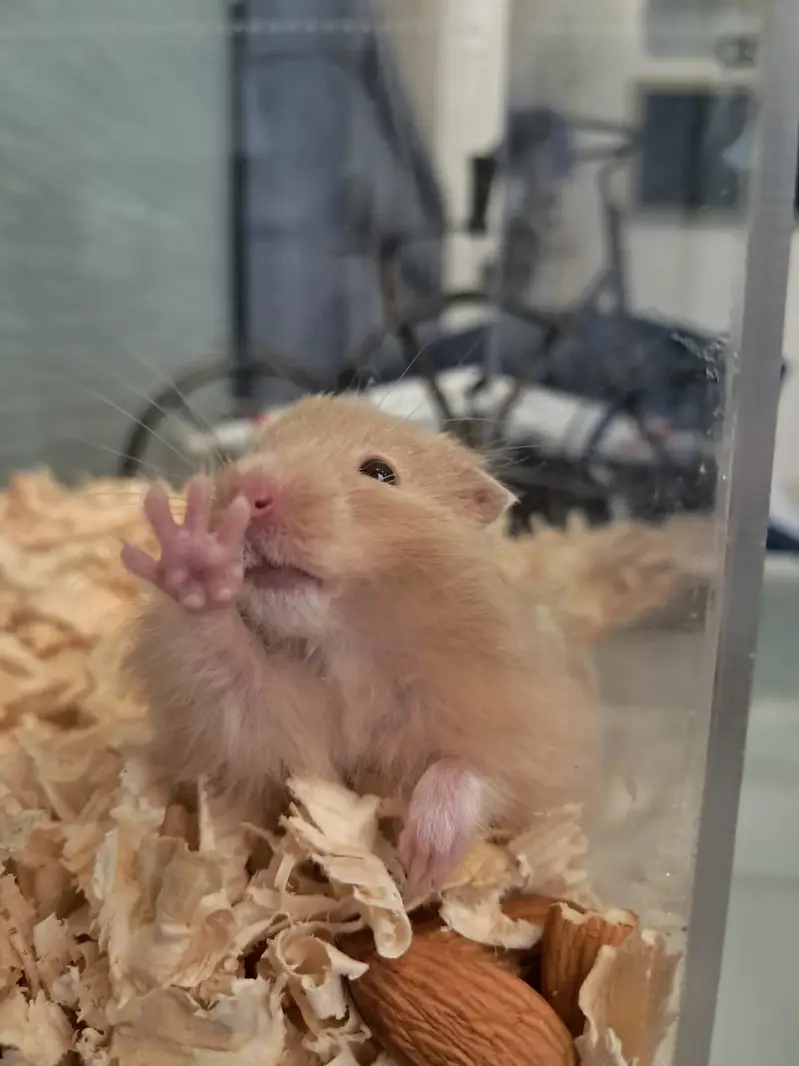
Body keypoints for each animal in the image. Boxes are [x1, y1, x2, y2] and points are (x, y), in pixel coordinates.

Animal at [122, 395, 594, 894]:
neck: (352, 650)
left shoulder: (526, 736)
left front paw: (422, 864)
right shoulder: (265, 726)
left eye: (380, 472)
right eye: (257, 448)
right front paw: (195, 554)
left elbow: (472, 771)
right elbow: (231, 667)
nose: (248, 490)